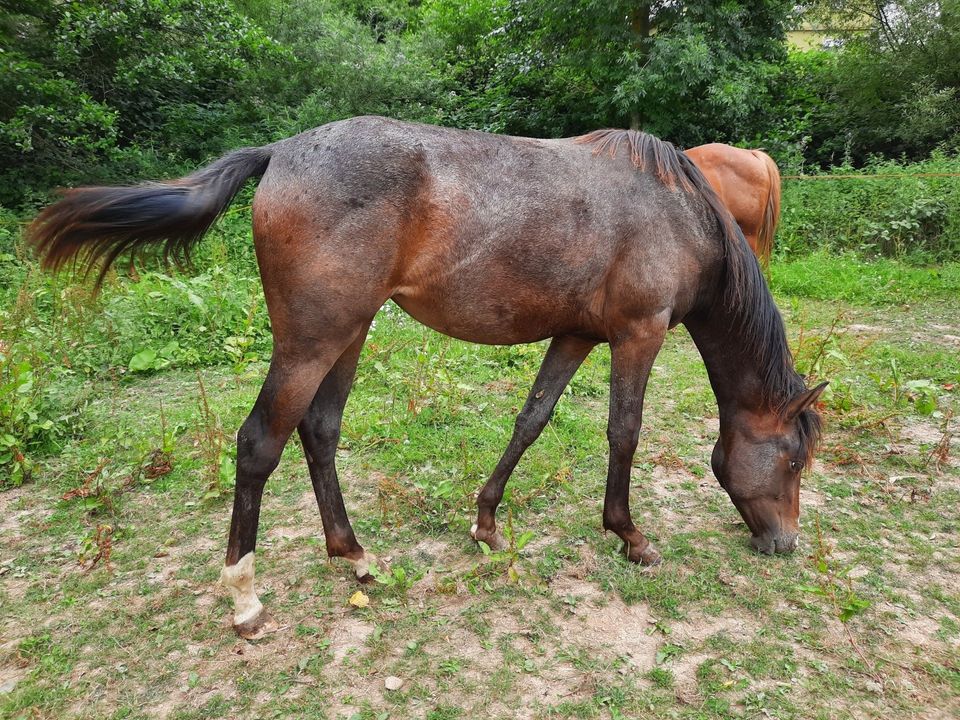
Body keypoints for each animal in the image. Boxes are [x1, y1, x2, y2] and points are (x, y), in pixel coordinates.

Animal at [28, 117, 825, 639]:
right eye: (793, 459)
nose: (784, 542)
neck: (678, 211)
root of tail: (281, 151)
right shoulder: (639, 334)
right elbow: (622, 432)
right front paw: (629, 536)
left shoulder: (575, 335)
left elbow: (532, 419)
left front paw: (487, 523)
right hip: (311, 341)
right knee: (259, 443)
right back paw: (245, 599)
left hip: (348, 334)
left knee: (320, 431)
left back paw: (353, 557)